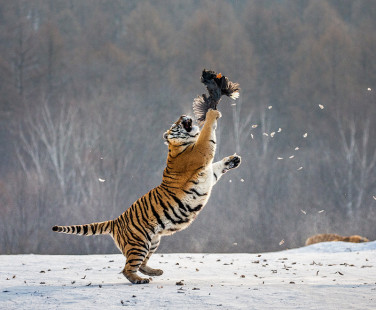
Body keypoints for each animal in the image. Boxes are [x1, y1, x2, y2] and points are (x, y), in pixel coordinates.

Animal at [52, 109, 241, 284]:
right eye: (175, 124)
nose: (182, 116)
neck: (182, 146)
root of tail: (115, 221)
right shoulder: (201, 151)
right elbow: (208, 132)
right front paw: (212, 114)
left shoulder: (209, 174)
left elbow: (218, 166)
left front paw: (233, 160)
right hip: (139, 244)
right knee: (127, 269)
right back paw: (141, 280)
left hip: (153, 242)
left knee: (141, 264)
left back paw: (156, 272)